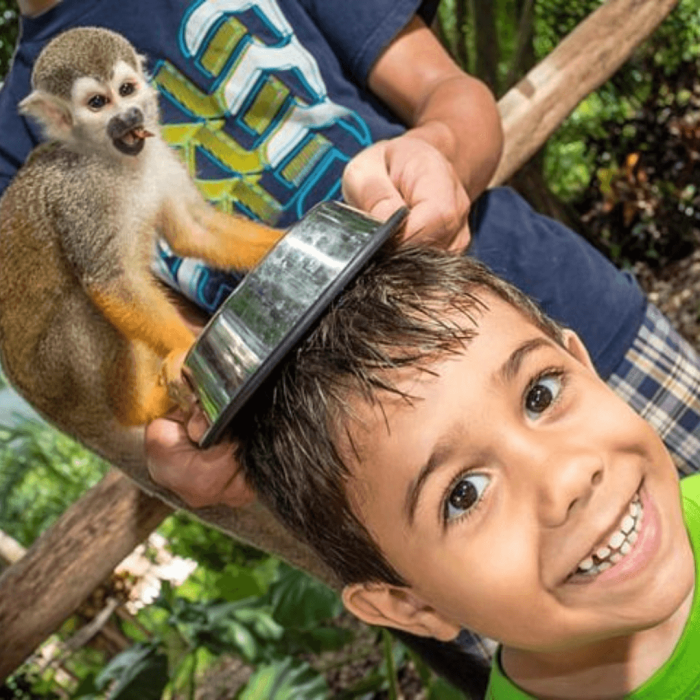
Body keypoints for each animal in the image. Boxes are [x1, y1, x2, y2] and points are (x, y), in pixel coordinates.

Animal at [0, 27, 284, 447]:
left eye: (127, 89)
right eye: (98, 103)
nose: (130, 115)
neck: (115, 161)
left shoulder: (159, 154)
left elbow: (192, 230)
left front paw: (289, 238)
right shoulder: (81, 199)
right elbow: (111, 280)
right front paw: (184, 346)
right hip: (64, 386)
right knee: (79, 306)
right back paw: (142, 408)